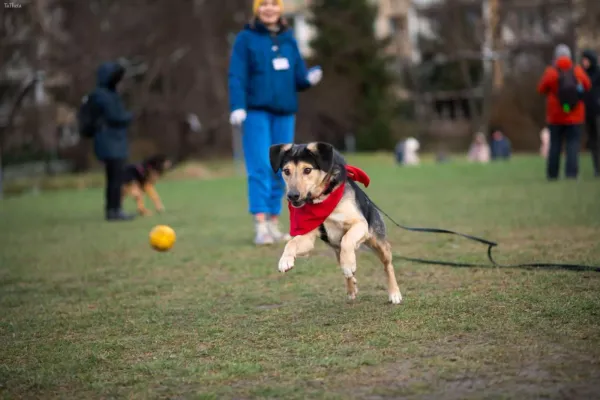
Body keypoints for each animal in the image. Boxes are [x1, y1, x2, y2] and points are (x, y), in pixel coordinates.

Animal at [268, 142, 404, 304]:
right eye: (286, 171)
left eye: (307, 170)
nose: (292, 196)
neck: (321, 199)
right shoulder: (308, 237)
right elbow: (291, 243)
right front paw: (285, 260)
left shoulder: (360, 224)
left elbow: (347, 239)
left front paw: (349, 264)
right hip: (338, 252)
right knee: (347, 270)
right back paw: (351, 288)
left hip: (379, 243)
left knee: (387, 266)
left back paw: (394, 293)